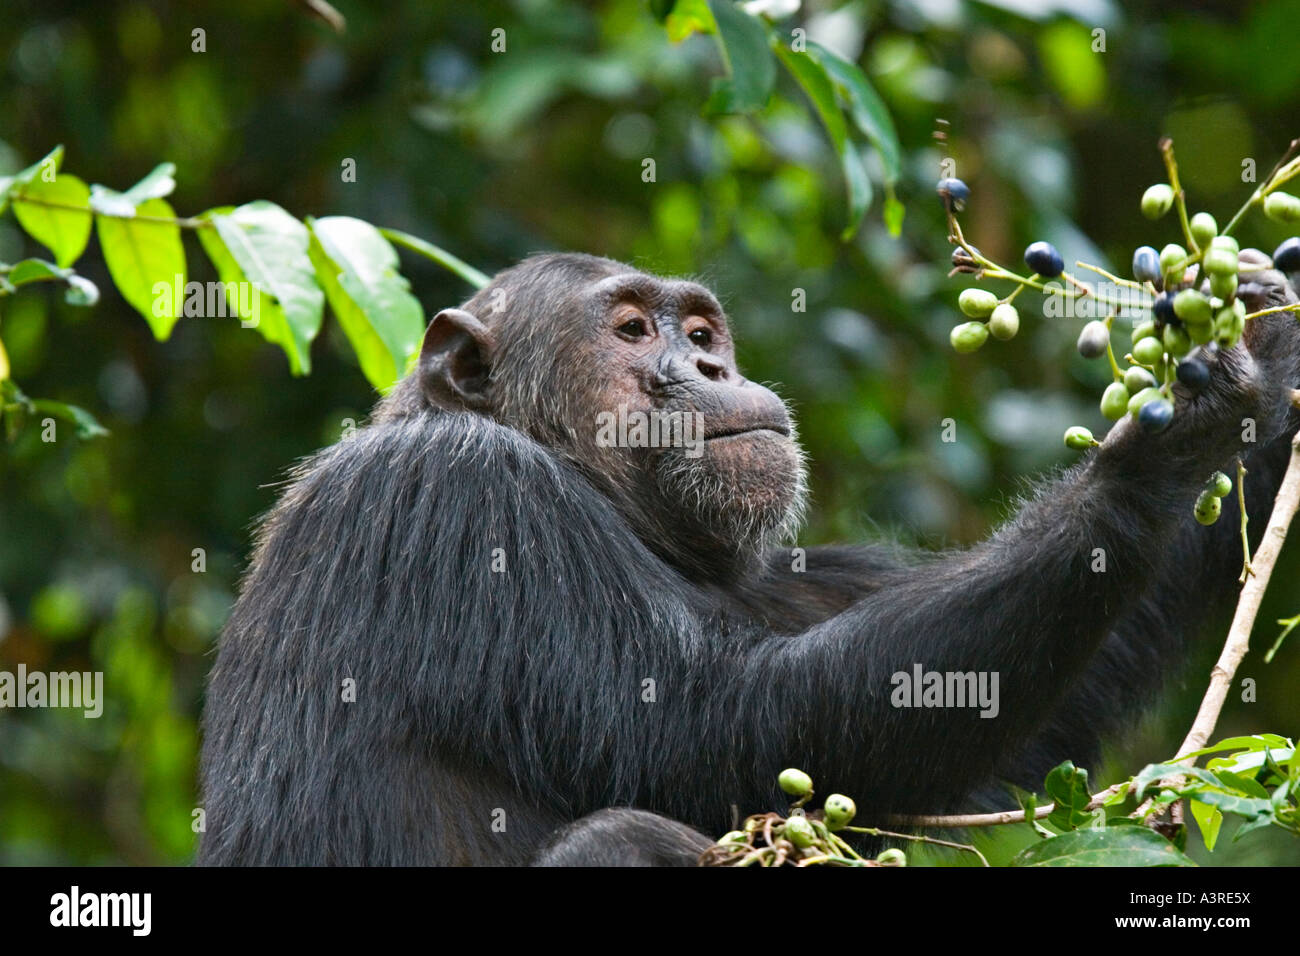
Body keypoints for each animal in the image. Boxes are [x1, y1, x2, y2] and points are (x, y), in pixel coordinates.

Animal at [197, 248, 1300, 868]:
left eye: (697, 325)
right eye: (630, 328)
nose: (710, 365)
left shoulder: (794, 579)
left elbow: (1002, 730)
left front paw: (1271, 338)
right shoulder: (460, 502)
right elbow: (713, 726)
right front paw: (1153, 453)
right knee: (621, 835)